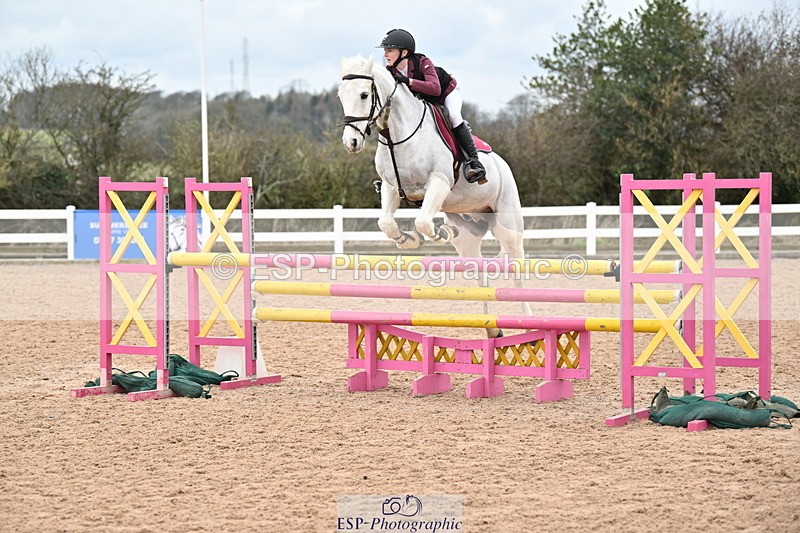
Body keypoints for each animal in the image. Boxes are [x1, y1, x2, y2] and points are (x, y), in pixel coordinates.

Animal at [337, 55, 531, 337]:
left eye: (364, 95)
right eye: (341, 95)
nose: (351, 142)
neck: (397, 135)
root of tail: (501, 162)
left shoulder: (439, 183)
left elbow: (423, 222)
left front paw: (438, 233)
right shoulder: (391, 187)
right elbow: (386, 223)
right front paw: (408, 240)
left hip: (508, 224)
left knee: (517, 270)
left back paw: (528, 324)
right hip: (468, 236)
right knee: (479, 272)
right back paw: (492, 329)